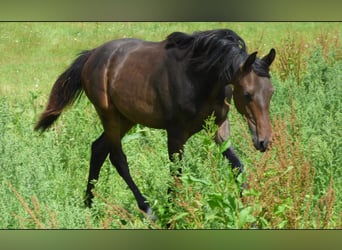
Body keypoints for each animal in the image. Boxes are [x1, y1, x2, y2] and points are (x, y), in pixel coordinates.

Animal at [34, 28, 276, 219]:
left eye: (271, 92)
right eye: (247, 94)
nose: (263, 141)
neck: (200, 79)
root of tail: (91, 55)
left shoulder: (219, 127)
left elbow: (237, 167)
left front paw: (250, 215)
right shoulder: (176, 133)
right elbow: (176, 174)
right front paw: (174, 214)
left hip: (126, 118)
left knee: (99, 149)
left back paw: (89, 205)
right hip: (109, 115)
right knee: (117, 158)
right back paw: (149, 211)